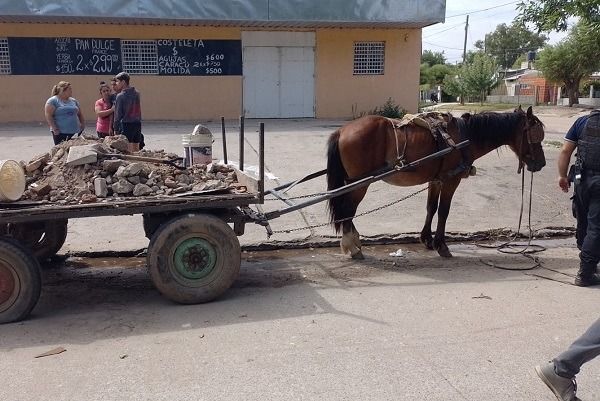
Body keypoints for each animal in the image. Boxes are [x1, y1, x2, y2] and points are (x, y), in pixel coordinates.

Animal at [326, 105, 548, 256]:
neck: (464, 136)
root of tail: (342, 130)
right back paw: (351, 246)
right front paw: (441, 245)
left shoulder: (436, 180)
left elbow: (431, 208)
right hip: (360, 183)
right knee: (348, 210)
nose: (542, 164)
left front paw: (427, 239)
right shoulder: (451, 180)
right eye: (536, 135)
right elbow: (444, 211)